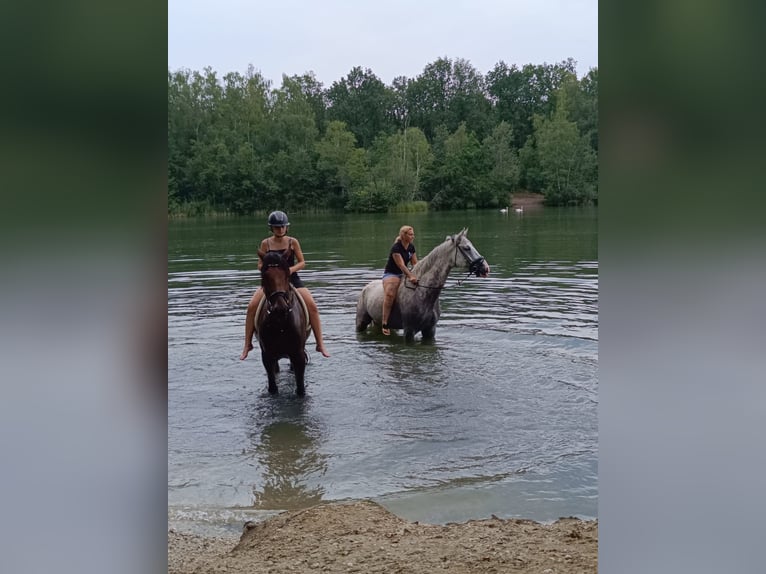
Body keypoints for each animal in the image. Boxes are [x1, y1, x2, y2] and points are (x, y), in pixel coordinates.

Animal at [255, 251, 308, 396]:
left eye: (287, 275)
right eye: (264, 276)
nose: (280, 308)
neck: (280, 323)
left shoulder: (298, 354)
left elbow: (300, 389)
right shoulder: (267, 355)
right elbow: (273, 388)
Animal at [356, 230, 488, 344]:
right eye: (467, 248)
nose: (485, 268)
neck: (422, 292)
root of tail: (366, 287)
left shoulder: (430, 330)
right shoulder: (409, 331)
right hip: (361, 322)